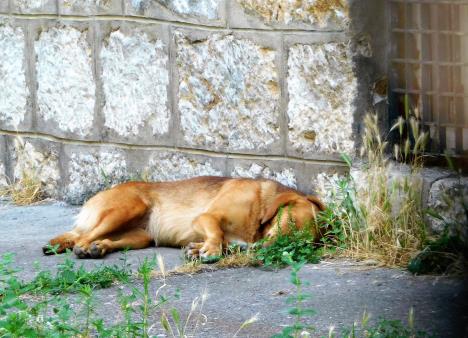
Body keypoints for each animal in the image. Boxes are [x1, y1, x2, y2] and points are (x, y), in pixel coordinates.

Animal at [42, 177, 324, 258]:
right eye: (288, 223)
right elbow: (217, 234)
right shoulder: (205, 218)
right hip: (128, 208)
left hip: (141, 237)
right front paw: (209, 251)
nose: (270, 251)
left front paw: (198, 249)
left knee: (104, 240)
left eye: (302, 241)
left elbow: (225, 242)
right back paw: (82, 247)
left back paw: (99, 247)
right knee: (82, 237)